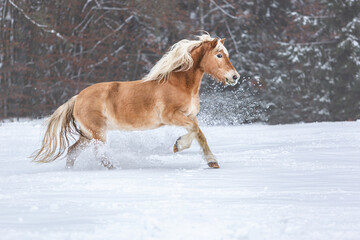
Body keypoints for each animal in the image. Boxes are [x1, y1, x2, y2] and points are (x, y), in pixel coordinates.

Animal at [31, 33, 239, 169]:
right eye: (219, 55)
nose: (235, 77)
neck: (179, 84)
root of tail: (77, 98)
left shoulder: (190, 116)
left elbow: (199, 134)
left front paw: (212, 161)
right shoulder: (170, 116)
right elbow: (195, 131)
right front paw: (178, 145)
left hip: (88, 135)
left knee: (72, 151)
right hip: (97, 133)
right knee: (99, 154)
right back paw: (115, 168)